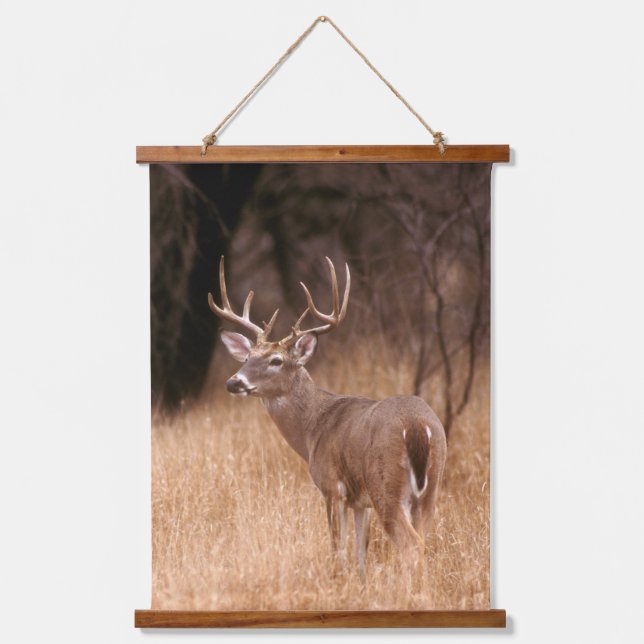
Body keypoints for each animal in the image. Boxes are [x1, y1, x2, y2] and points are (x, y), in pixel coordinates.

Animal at [208, 256, 447, 580]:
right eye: (247, 358)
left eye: (276, 360)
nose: (234, 382)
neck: (313, 429)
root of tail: (417, 426)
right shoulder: (360, 502)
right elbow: (361, 552)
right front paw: (360, 584)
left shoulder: (332, 486)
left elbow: (338, 549)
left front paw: (339, 581)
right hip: (431, 487)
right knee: (422, 542)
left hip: (386, 484)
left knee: (411, 546)